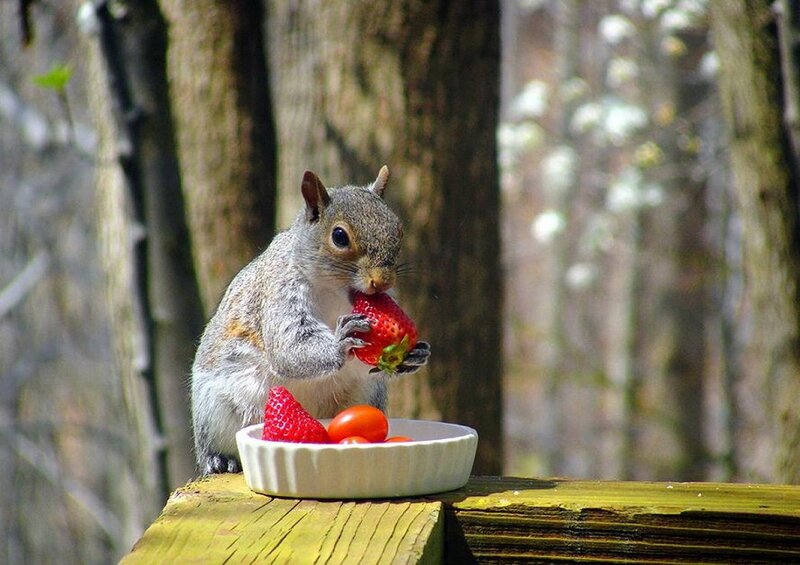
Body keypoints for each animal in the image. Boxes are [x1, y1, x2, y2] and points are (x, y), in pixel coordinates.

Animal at [191, 166, 431, 475]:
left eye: (398, 229)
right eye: (339, 236)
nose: (383, 281)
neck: (333, 292)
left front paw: (414, 354)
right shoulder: (280, 293)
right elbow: (288, 347)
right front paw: (341, 342)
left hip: (367, 395)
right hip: (214, 410)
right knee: (213, 446)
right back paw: (219, 459)